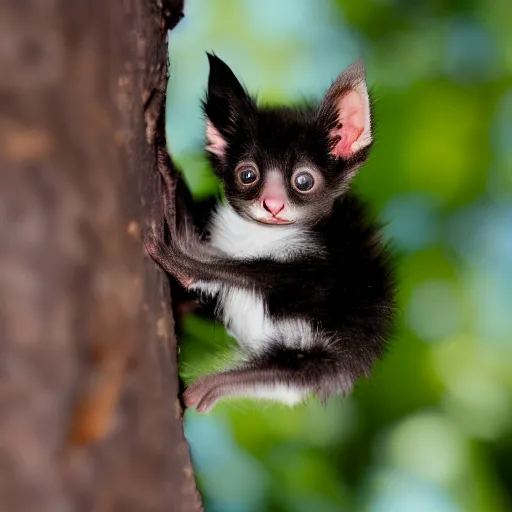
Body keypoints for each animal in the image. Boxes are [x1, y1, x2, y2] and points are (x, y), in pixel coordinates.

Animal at [146, 53, 398, 412]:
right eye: (247, 175)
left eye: (303, 181)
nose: (273, 205)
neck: (260, 235)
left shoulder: (326, 259)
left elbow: (254, 272)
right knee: (291, 371)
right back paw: (203, 391)